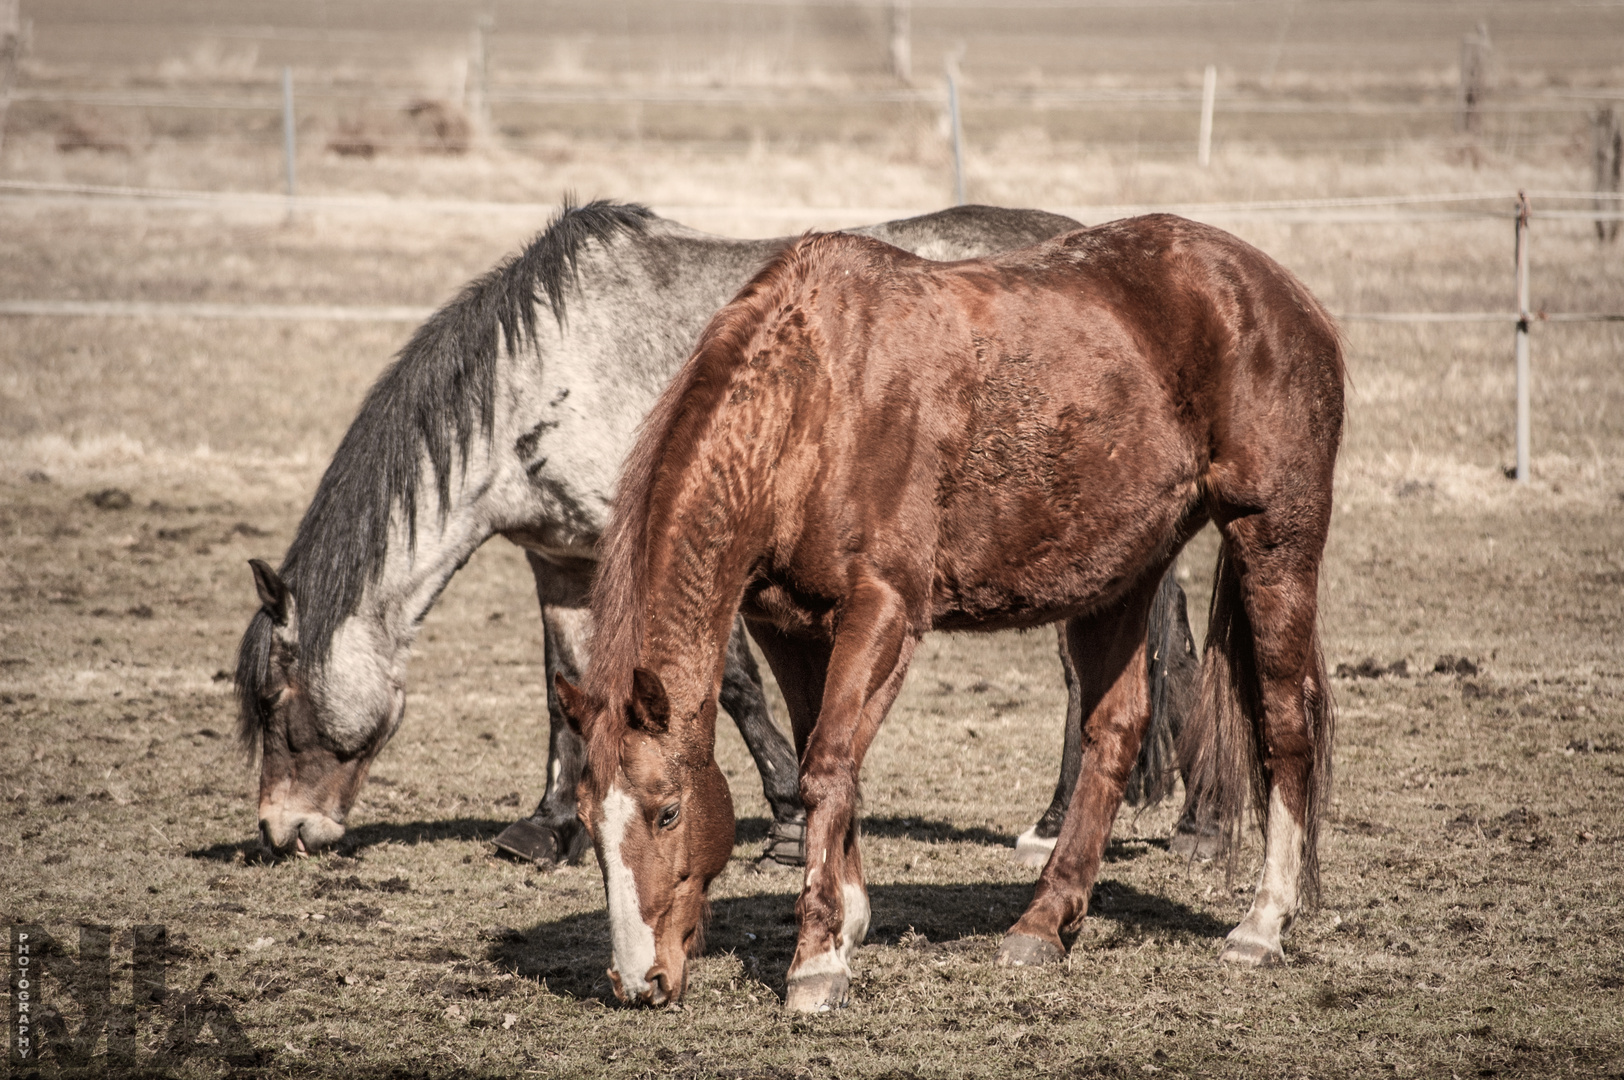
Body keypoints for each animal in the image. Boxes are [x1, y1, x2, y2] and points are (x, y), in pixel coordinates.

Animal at [237, 199, 1208, 870]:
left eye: (277, 700)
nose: (282, 831)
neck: (550, 371)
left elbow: (732, 685)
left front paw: (784, 819)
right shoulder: (565, 562)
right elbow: (564, 685)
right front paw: (545, 827)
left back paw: (1127, 824)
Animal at [558, 217, 1344, 1013]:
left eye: (668, 812)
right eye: (588, 824)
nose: (638, 980)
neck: (815, 402)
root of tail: (1277, 290)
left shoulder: (884, 612)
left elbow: (828, 765)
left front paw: (817, 959)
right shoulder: (785, 624)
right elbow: (824, 755)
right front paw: (847, 920)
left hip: (1271, 537)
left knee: (1285, 722)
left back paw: (1261, 926)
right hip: (1120, 578)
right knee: (1115, 732)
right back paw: (1043, 922)